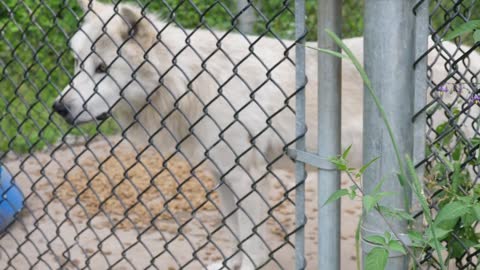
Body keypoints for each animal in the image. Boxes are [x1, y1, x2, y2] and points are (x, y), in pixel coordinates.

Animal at [52, 0, 480, 270]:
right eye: (78, 63)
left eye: (102, 68)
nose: (59, 108)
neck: (189, 83)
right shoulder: (224, 177)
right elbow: (235, 236)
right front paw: (228, 264)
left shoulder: (248, 176)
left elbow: (253, 242)